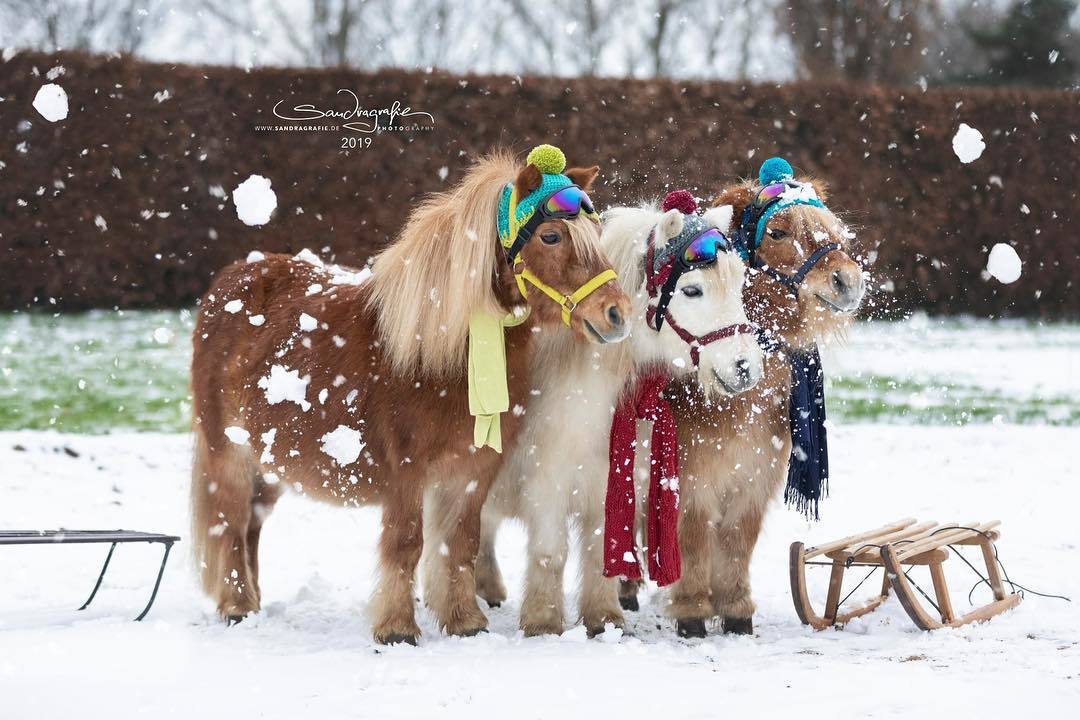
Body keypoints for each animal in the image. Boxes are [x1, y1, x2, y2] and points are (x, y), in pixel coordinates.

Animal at [192, 148, 630, 643]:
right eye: (551, 236)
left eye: (595, 235)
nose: (617, 312)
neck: (441, 351)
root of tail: (230, 281)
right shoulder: (405, 473)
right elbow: (406, 544)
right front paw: (397, 628)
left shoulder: (473, 470)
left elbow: (460, 544)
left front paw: (465, 621)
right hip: (228, 455)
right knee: (229, 525)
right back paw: (237, 606)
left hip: (268, 466)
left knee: (251, 525)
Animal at [449, 198, 768, 634]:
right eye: (691, 289)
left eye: (738, 285)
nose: (746, 367)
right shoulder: (546, 479)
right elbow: (551, 552)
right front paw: (543, 621)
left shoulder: (608, 478)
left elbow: (599, 546)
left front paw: (603, 619)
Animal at [622, 158, 864, 634]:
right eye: (779, 232)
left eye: (829, 224)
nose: (848, 280)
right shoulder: (690, 476)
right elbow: (693, 539)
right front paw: (693, 612)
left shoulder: (755, 473)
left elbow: (738, 539)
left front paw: (735, 610)